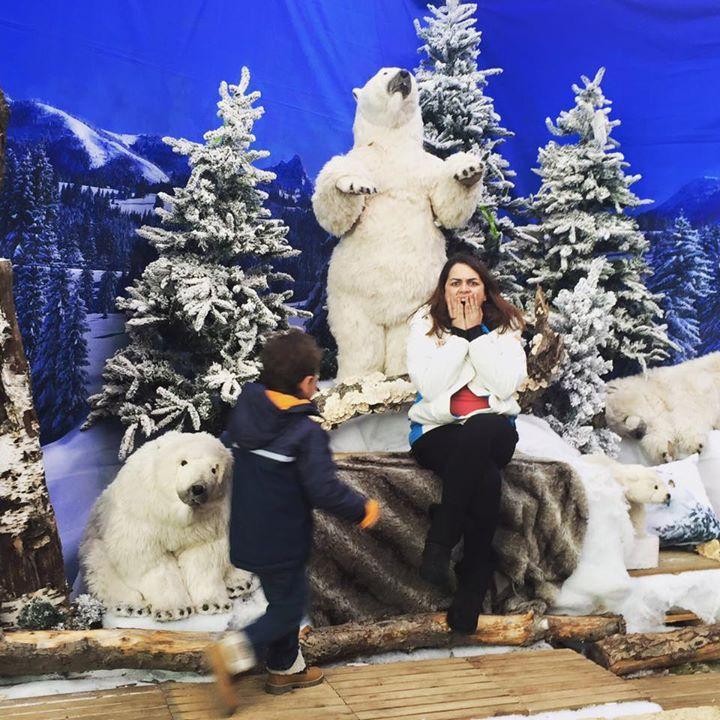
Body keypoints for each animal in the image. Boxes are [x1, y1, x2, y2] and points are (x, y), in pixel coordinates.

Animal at [80, 431, 254, 620]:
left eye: (214, 469)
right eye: (183, 462)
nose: (197, 488)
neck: (174, 516)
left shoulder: (209, 523)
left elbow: (203, 558)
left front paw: (213, 604)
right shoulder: (143, 517)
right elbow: (150, 561)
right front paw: (174, 610)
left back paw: (239, 583)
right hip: (95, 540)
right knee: (101, 569)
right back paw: (131, 606)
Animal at [312, 67, 484, 380]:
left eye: (410, 75)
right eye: (384, 72)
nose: (404, 74)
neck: (392, 145)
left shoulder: (426, 168)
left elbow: (446, 205)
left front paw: (468, 171)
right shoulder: (363, 159)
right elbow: (330, 210)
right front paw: (352, 184)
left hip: (419, 300)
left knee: (404, 337)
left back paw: (402, 372)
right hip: (348, 296)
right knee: (358, 339)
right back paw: (359, 377)